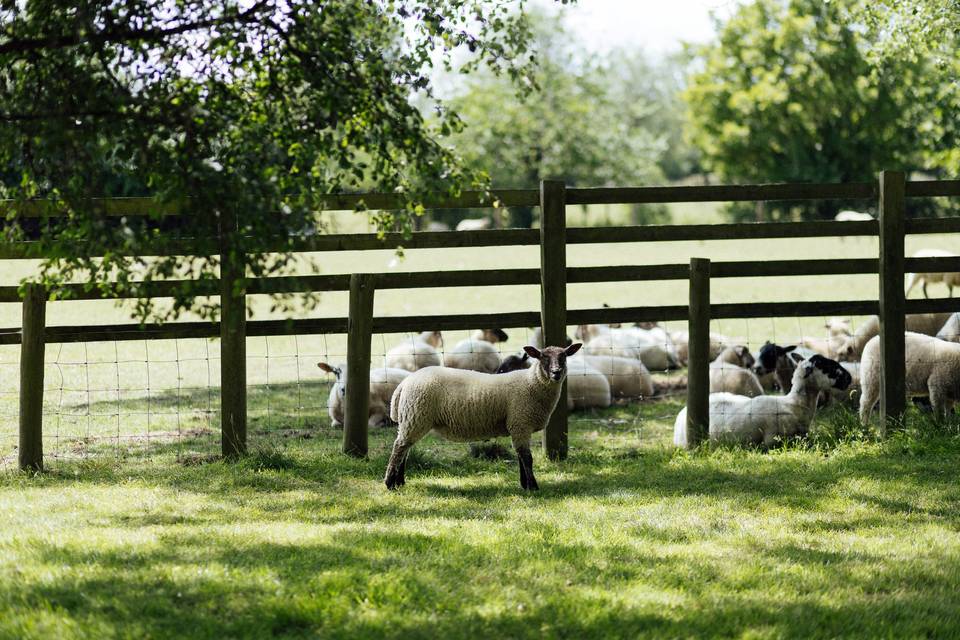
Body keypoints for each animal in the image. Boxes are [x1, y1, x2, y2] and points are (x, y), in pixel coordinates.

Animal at [384, 343, 583, 490]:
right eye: (543, 357)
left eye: (564, 356)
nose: (556, 373)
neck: (531, 384)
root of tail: (404, 383)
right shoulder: (520, 423)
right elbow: (527, 458)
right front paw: (533, 487)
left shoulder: (518, 426)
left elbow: (520, 456)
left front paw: (524, 485)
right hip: (416, 416)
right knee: (399, 448)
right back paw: (390, 483)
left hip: (412, 418)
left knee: (405, 448)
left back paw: (400, 482)